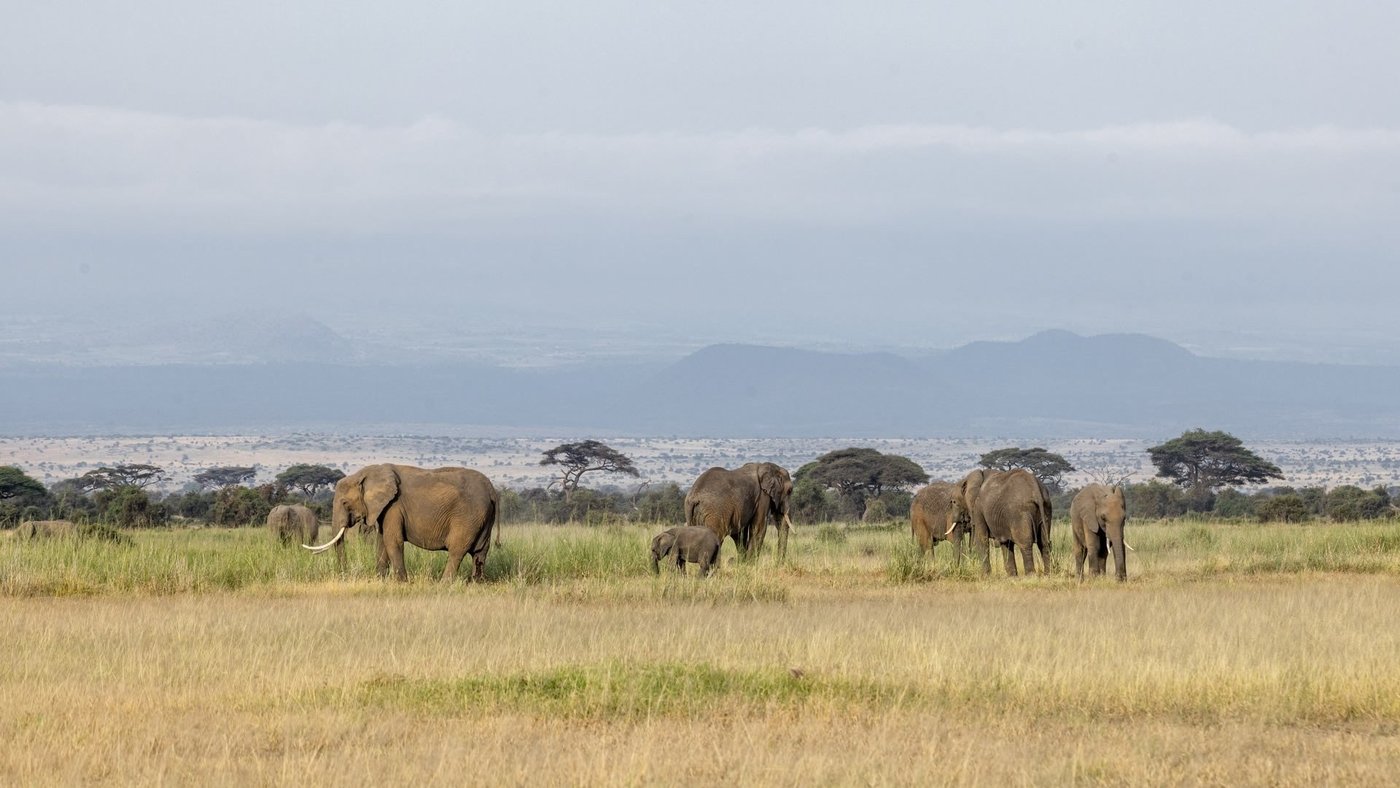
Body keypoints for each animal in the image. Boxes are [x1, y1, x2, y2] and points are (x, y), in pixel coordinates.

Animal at [304, 464, 498, 582]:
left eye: (345, 503)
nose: (344, 574)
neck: (368, 473)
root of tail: (492, 491)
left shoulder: (394, 506)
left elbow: (392, 541)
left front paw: (401, 582)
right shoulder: (384, 509)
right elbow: (382, 542)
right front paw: (379, 580)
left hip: (468, 517)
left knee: (457, 550)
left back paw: (444, 584)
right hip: (484, 517)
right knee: (480, 552)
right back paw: (476, 583)